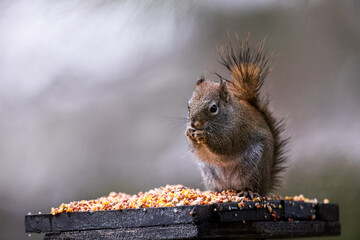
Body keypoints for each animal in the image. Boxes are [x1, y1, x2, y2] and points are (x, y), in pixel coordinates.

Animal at [186, 37, 286, 197]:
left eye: (213, 108)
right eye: (188, 107)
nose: (194, 124)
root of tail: (266, 187)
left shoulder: (237, 130)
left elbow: (225, 146)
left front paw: (204, 136)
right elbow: (198, 151)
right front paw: (189, 133)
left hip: (254, 169)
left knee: (253, 186)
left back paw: (247, 192)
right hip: (210, 173)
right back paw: (216, 191)